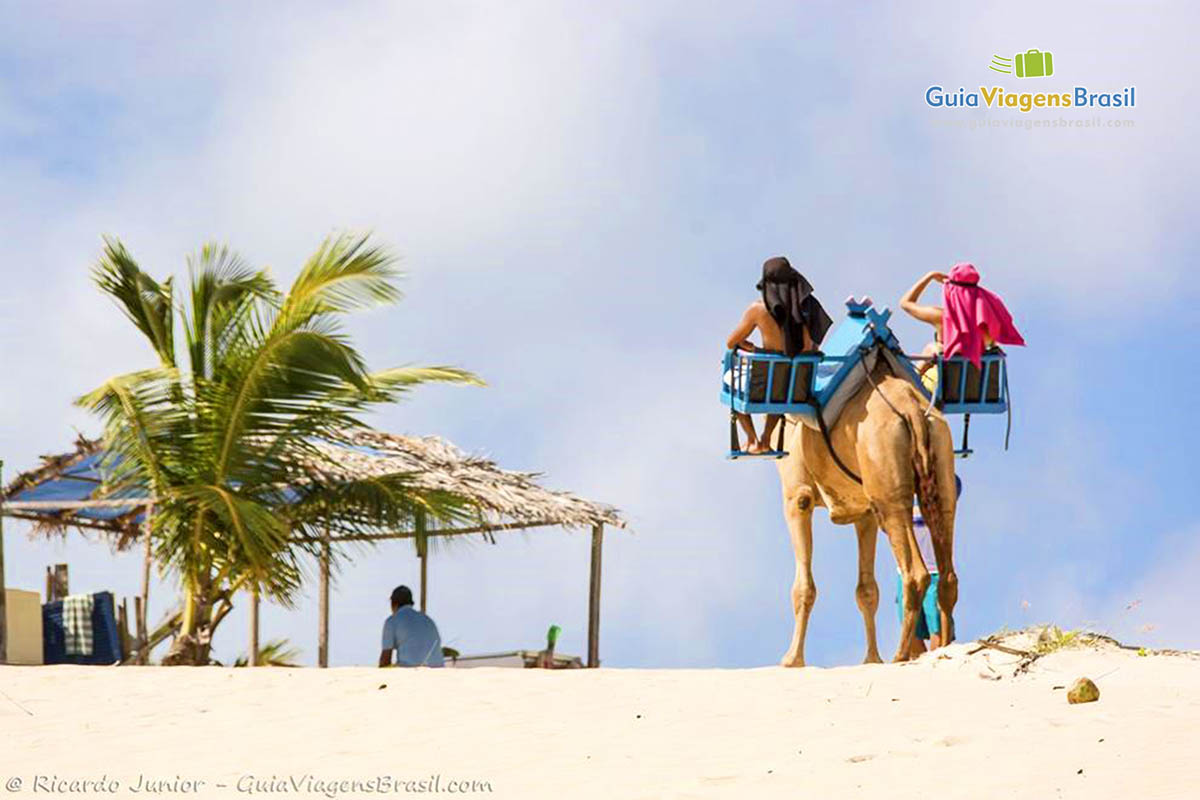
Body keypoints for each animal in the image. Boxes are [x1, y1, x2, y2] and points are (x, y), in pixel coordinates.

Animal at [772, 359, 960, 666]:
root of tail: (911, 408)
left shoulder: (797, 495)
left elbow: (803, 587)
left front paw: (792, 660)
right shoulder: (864, 512)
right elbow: (867, 589)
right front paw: (871, 659)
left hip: (888, 489)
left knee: (915, 573)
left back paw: (900, 655)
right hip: (940, 465)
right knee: (947, 573)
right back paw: (941, 650)